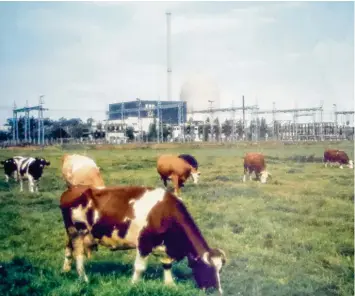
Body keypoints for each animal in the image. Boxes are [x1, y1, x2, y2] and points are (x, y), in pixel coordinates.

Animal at [59, 185, 227, 294]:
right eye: (207, 268)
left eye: (220, 270)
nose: (217, 291)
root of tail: (72, 190)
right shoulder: (144, 243)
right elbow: (139, 267)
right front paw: (133, 285)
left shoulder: (164, 246)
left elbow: (167, 265)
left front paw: (170, 284)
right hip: (77, 232)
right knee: (78, 255)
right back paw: (84, 278)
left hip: (71, 233)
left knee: (68, 249)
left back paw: (65, 270)